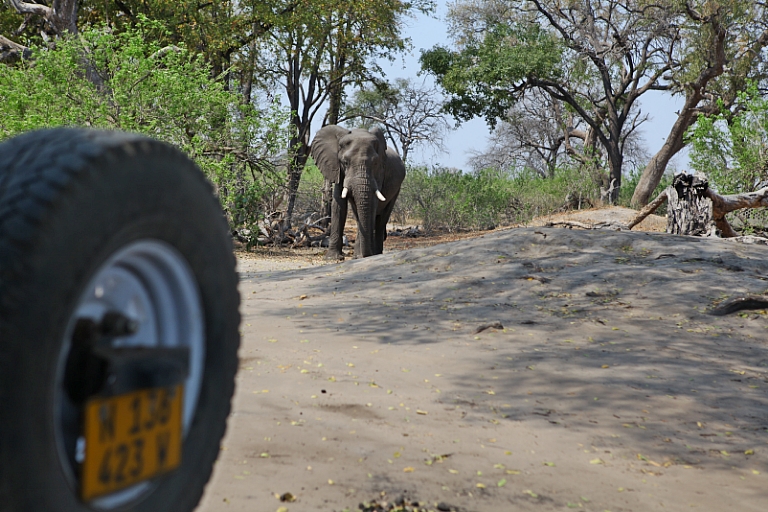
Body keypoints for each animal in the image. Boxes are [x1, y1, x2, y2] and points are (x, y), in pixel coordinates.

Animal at [312, 124, 408, 260]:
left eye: (375, 163)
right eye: (345, 162)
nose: (367, 254)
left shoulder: (380, 172)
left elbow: (372, 204)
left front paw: (362, 256)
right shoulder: (338, 170)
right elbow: (338, 205)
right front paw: (333, 258)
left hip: (397, 190)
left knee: (382, 218)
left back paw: (374, 253)